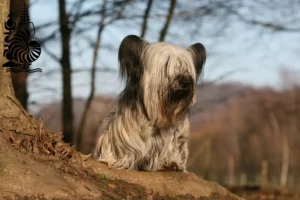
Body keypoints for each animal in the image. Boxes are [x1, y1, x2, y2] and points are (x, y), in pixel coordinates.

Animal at [94, 34, 206, 172]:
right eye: (167, 64)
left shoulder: (177, 137)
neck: (160, 116)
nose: (185, 82)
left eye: (186, 67)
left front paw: (171, 162)